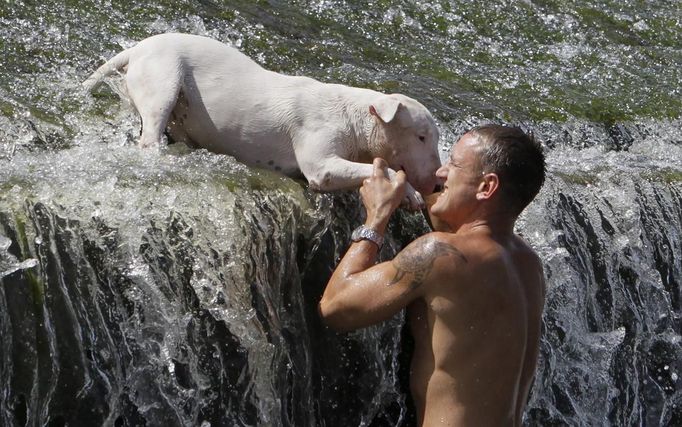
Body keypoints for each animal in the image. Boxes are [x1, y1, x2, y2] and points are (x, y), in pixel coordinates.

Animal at [82, 33, 438, 207]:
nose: (436, 184)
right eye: (421, 136)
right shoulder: (321, 164)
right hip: (165, 79)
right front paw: (410, 193)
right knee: (150, 135)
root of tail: (135, 49)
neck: (353, 116)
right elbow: (376, 169)